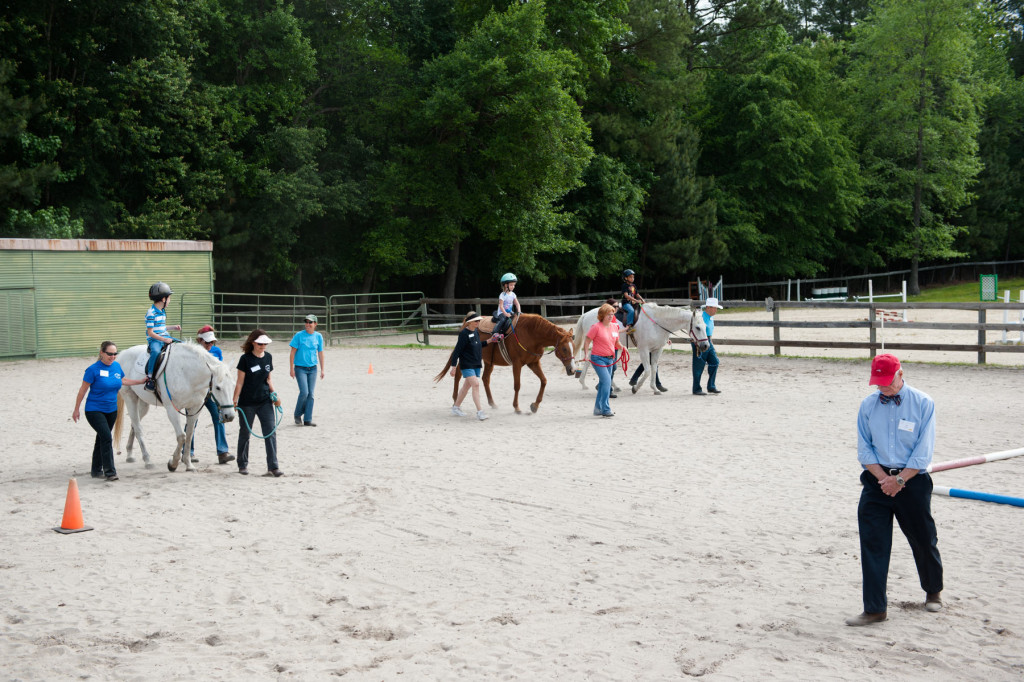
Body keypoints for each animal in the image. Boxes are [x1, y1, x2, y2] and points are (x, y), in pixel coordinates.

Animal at [113, 342, 235, 471]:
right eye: (218, 387)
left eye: (233, 385)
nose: (230, 416)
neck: (187, 374)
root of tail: (123, 354)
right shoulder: (172, 410)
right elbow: (181, 436)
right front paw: (173, 464)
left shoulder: (195, 409)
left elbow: (189, 435)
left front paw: (188, 464)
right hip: (130, 398)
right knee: (138, 428)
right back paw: (147, 460)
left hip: (143, 404)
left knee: (134, 425)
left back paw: (130, 454)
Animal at [446, 311, 577, 411]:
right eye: (564, 348)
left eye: (574, 347)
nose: (572, 370)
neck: (531, 334)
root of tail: (465, 323)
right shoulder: (517, 364)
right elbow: (517, 385)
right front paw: (516, 408)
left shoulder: (533, 363)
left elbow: (544, 381)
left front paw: (535, 406)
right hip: (466, 358)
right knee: (458, 374)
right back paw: (455, 400)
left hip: (488, 361)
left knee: (485, 379)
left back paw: (492, 403)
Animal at [573, 301, 708, 393]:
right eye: (697, 327)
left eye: (705, 326)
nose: (706, 345)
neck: (657, 323)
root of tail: (586, 314)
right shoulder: (643, 349)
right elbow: (647, 370)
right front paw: (635, 388)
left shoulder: (657, 349)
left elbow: (653, 369)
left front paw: (655, 389)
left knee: (590, 359)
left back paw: (586, 384)